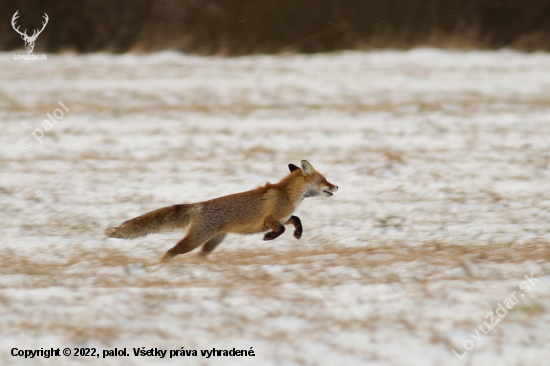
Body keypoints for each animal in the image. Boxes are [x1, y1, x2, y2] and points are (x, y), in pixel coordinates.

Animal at [103, 159, 336, 260]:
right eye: (325, 180)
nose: (337, 187)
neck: (287, 194)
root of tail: (199, 206)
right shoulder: (269, 220)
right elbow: (281, 229)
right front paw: (269, 238)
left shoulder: (282, 217)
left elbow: (296, 219)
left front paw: (298, 233)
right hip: (194, 240)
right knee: (170, 252)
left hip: (211, 242)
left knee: (198, 256)